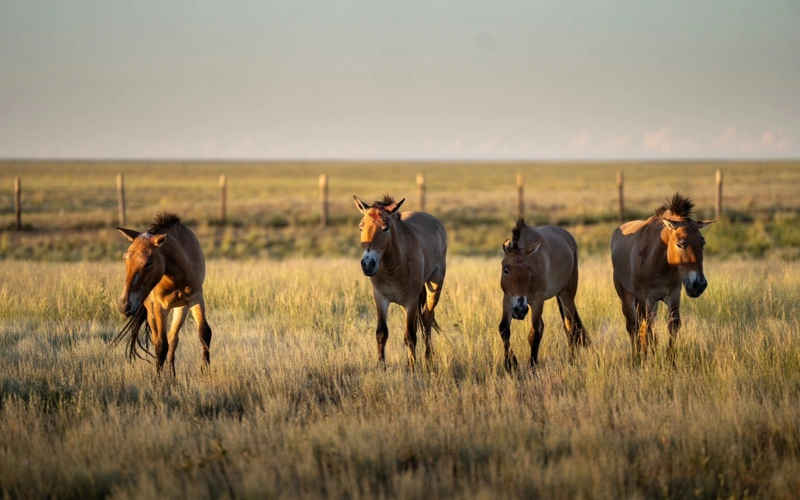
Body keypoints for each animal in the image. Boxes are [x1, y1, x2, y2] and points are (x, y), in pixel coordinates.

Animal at [112, 212, 212, 375]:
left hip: (180, 307)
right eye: (125, 258)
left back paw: (172, 373)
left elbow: (204, 332)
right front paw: (158, 378)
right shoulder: (160, 306)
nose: (123, 306)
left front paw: (205, 369)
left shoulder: (196, 298)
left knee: (173, 337)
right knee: (158, 338)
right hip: (151, 309)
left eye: (148, 262)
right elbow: (160, 345)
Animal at [353, 195, 447, 368]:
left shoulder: (411, 300)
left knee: (427, 318)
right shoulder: (380, 298)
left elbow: (410, 335)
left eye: (385, 228)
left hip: (435, 286)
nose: (368, 264)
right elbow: (381, 333)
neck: (394, 266)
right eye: (361, 228)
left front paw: (412, 367)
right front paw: (381, 366)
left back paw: (428, 358)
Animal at [498, 219, 589, 370]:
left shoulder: (537, 301)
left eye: (530, 270)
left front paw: (532, 366)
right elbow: (504, 329)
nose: (520, 310)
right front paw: (510, 364)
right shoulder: (508, 299)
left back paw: (571, 360)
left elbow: (534, 334)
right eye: (506, 270)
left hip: (567, 295)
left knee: (570, 327)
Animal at [610, 193, 714, 360]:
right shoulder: (645, 298)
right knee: (633, 327)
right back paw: (636, 355)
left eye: (702, 243)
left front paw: (668, 357)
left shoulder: (673, 296)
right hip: (628, 298)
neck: (659, 267)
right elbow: (646, 328)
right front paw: (649, 356)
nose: (699, 284)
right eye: (680, 244)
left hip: (653, 304)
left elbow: (672, 325)